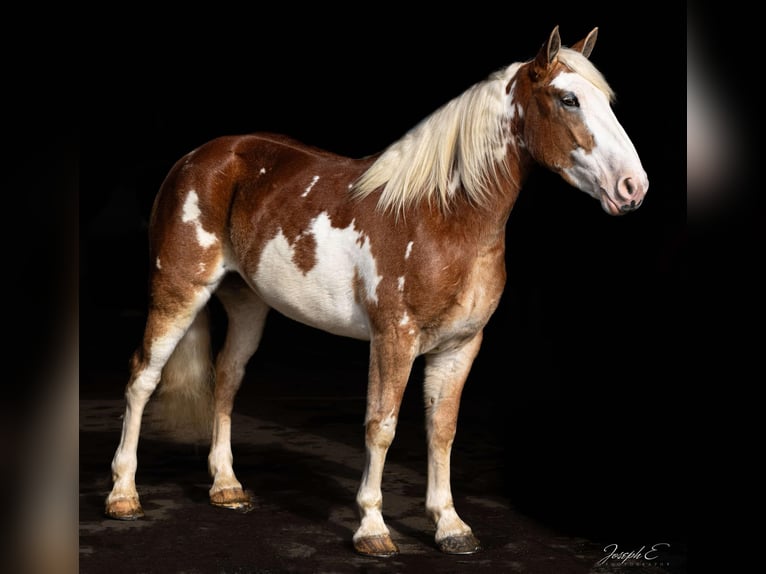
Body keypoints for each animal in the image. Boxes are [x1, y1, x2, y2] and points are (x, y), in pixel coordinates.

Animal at [104, 25, 648, 557]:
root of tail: (196, 158)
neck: (442, 215)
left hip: (247, 304)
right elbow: (381, 426)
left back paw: (226, 487)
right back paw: (124, 495)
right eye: (568, 99)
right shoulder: (394, 338)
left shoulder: (460, 345)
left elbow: (442, 430)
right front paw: (371, 528)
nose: (633, 187)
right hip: (179, 291)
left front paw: (450, 526)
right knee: (142, 378)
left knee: (227, 378)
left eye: (606, 100)